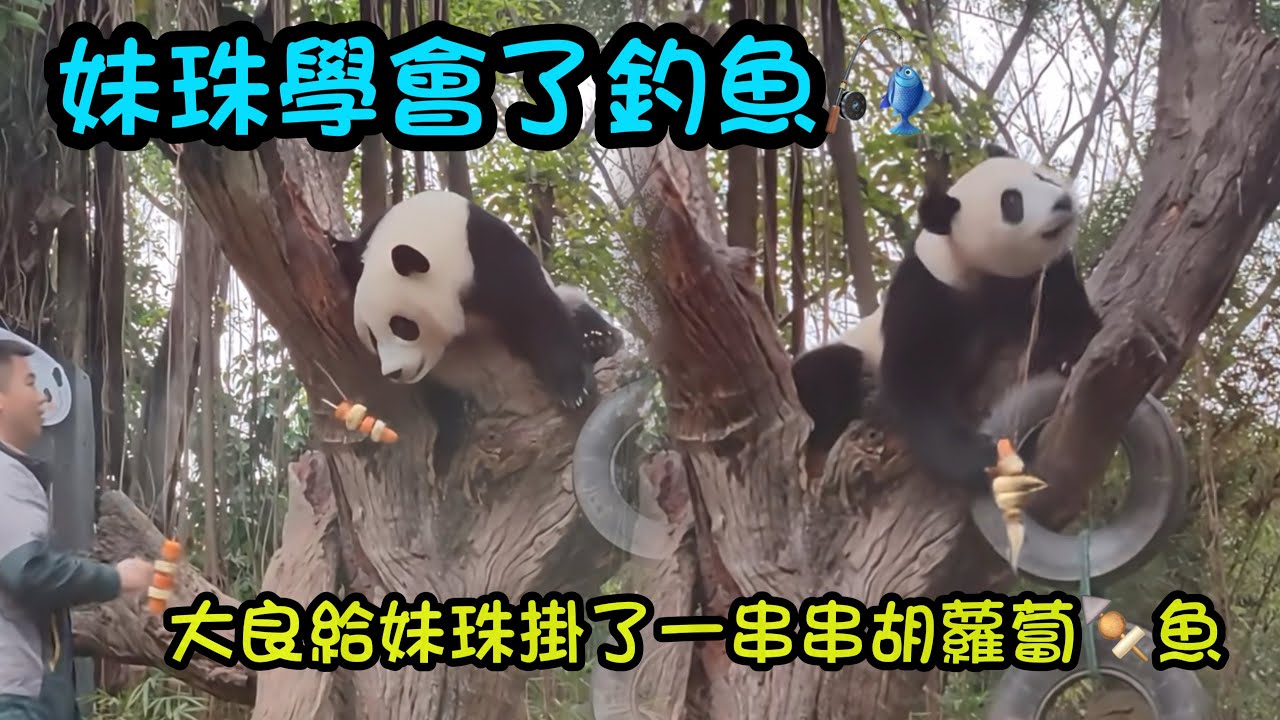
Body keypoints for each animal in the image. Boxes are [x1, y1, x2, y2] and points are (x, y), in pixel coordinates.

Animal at [330, 189, 622, 423]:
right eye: (371, 337)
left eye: (402, 325)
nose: (394, 372)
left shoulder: (488, 253)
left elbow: (538, 314)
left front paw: (573, 391)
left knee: (575, 307)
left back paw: (599, 339)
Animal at [790, 144, 1101, 493]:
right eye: (1012, 202)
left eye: (1041, 176)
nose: (1062, 202)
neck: (970, 267)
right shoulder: (926, 295)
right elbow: (916, 385)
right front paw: (979, 456)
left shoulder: (1041, 278)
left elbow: (1072, 317)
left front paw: (1067, 356)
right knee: (828, 371)